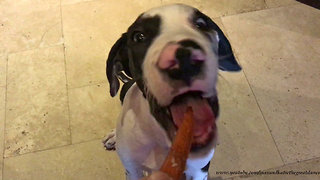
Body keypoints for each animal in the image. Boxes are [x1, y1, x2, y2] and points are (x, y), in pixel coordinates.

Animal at [104, 4, 241, 180]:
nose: (184, 58)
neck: (163, 141)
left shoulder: (199, 171)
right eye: (139, 37)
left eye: (201, 24)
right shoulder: (132, 170)